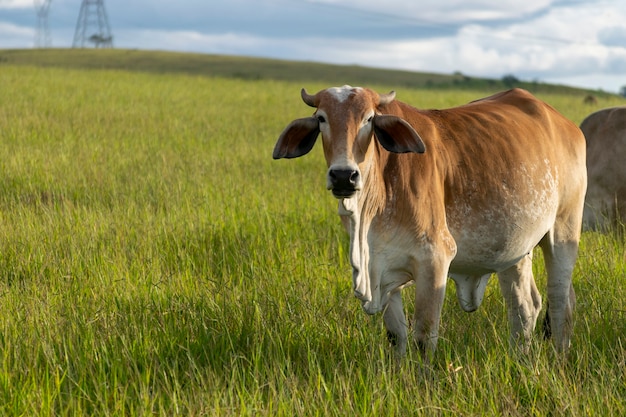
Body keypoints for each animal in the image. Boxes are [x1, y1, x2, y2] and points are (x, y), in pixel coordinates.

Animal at [272, 86, 584, 360]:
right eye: (321, 118)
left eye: (369, 119)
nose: (343, 176)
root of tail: (564, 123)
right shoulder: (383, 267)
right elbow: (396, 336)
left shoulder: (434, 259)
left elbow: (424, 337)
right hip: (515, 248)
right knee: (525, 308)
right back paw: (521, 361)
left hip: (563, 232)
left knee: (560, 304)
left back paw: (559, 360)